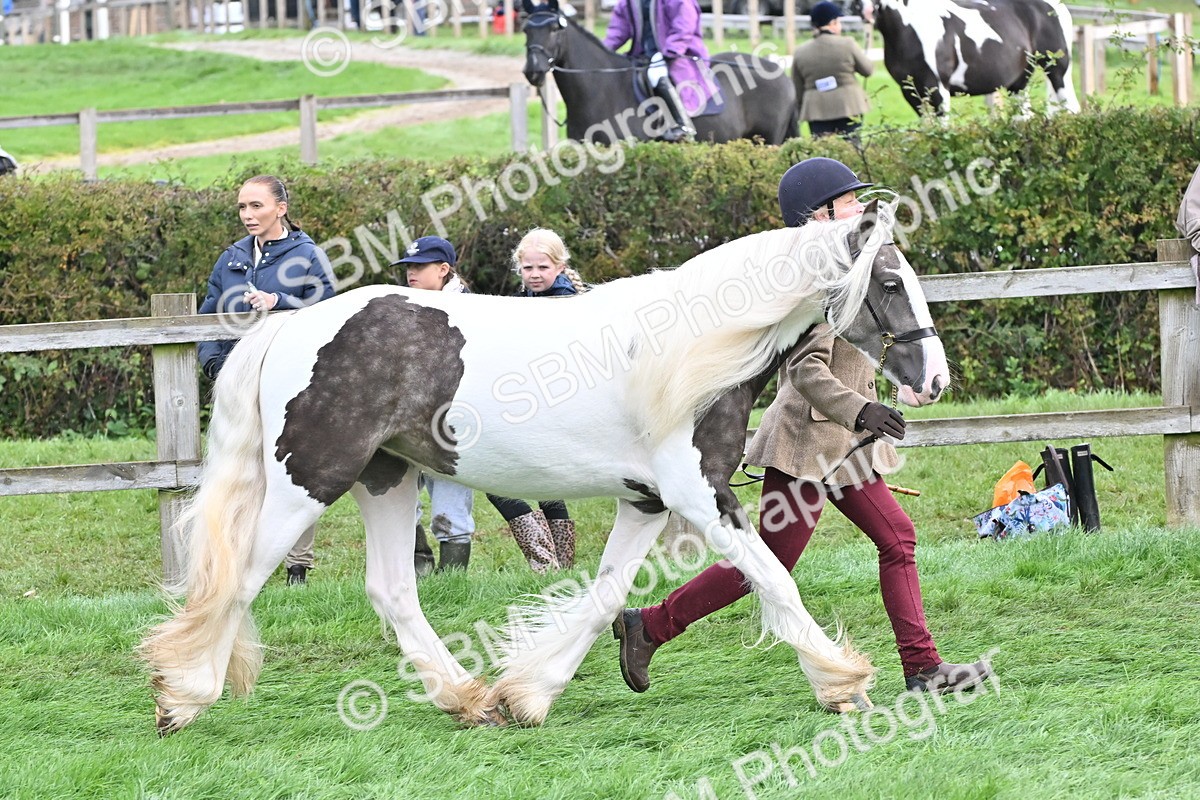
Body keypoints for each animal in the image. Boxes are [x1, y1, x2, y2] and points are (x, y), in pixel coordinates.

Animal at [140, 200, 950, 734]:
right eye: (887, 283)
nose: (933, 380)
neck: (692, 353)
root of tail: (291, 326)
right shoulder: (698, 492)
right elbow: (775, 579)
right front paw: (843, 684)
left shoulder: (647, 501)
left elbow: (604, 593)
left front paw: (529, 694)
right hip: (311, 481)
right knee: (242, 578)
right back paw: (182, 698)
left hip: (386, 477)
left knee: (392, 589)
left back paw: (466, 699)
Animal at [521, 0, 798, 145]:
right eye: (526, 29)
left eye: (555, 29)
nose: (533, 70)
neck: (601, 90)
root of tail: (782, 75)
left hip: (769, 141)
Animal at [857, 0, 1081, 115]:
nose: (864, 10)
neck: (909, 27)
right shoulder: (911, 92)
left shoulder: (937, 89)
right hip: (1019, 83)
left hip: (1058, 72)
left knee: (1071, 109)